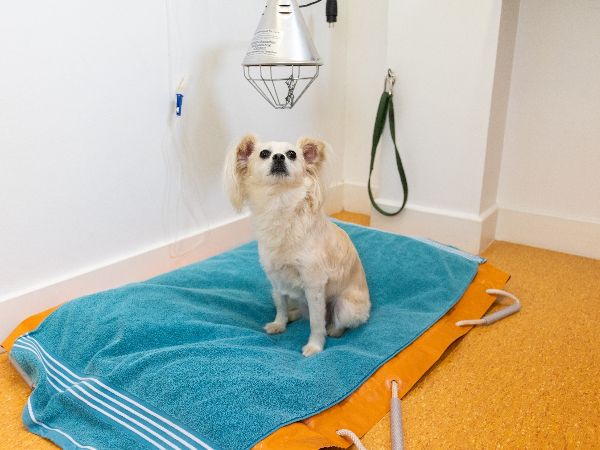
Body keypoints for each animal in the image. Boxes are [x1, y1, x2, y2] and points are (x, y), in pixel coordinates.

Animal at [224, 135, 370, 356]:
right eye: (264, 153)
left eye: (292, 154)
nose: (279, 157)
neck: (279, 203)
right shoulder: (276, 281)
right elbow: (280, 306)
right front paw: (280, 324)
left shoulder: (314, 285)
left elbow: (316, 323)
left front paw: (315, 346)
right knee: (300, 311)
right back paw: (293, 316)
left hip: (346, 306)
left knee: (336, 320)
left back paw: (334, 329)